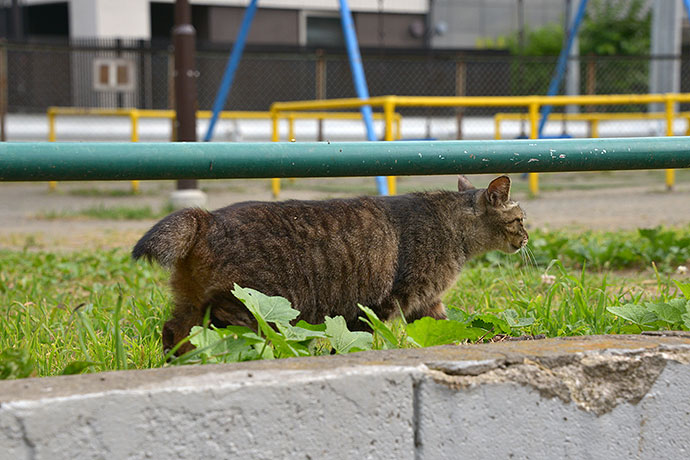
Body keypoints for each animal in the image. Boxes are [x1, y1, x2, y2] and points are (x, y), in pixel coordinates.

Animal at [130, 175, 528, 352]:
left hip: (190, 303)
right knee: (220, 335)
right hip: (245, 305)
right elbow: (358, 339)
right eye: (521, 219)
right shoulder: (382, 303)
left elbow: (445, 330)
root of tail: (205, 216)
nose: (527, 237)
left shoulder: (427, 304)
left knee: (174, 331)